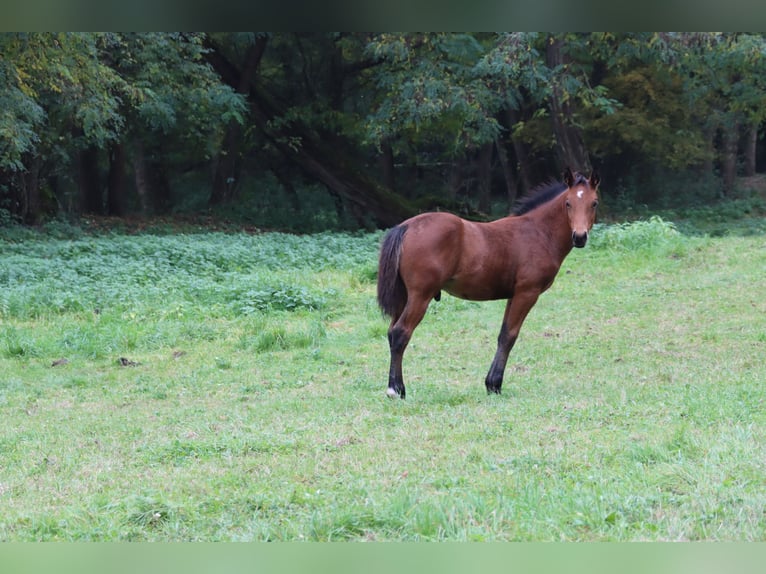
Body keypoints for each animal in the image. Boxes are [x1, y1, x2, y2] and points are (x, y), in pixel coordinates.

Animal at [377, 167, 600, 399]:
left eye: (594, 203)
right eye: (568, 203)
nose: (580, 237)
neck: (539, 232)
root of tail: (406, 227)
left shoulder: (514, 295)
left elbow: (503, 335)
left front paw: (491, 384)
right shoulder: (527, 293)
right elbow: (510, 336)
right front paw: (495, 384)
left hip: (404, 296)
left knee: (391, 332)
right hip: (420, 296)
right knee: (401, 332)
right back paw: (396, 389)